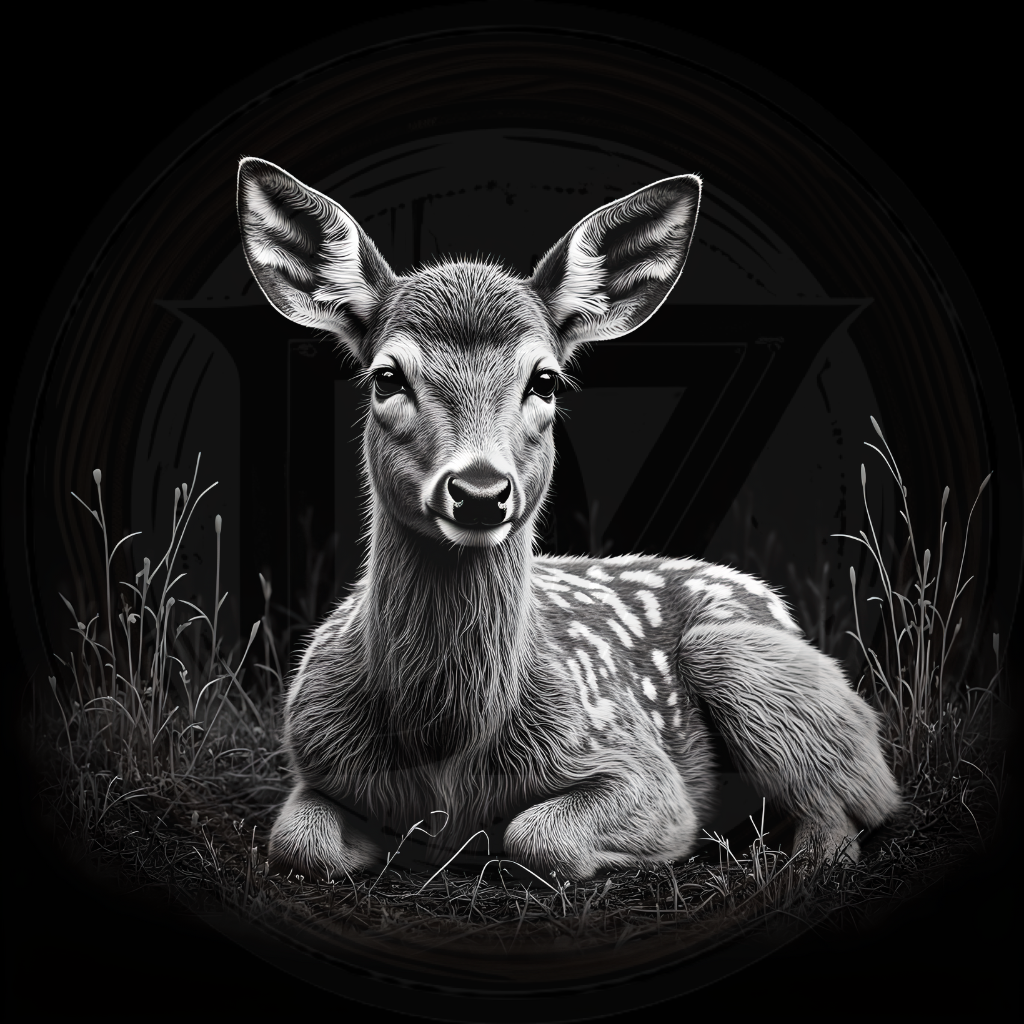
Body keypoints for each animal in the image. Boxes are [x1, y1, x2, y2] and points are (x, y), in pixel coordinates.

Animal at [237, 156, 902, 881]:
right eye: (388, 377)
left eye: (546, 380)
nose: (478, 490)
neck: (448, 755)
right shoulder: (313, 755)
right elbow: (298, 842)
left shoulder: (637, 761)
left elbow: (539, 835)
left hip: (743, 662)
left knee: (853, 815)